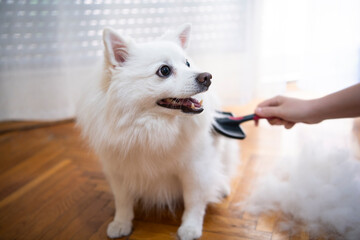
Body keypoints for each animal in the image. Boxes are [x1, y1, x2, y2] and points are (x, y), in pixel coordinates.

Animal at [76, 23, 239, 240]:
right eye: (165, 70)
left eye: (187, 64)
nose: (207, 77)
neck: (152, 128)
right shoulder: (118, 170)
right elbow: (122, 201)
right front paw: (121, 223)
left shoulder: (195, 169)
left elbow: (194, 201)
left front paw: (190, 227)